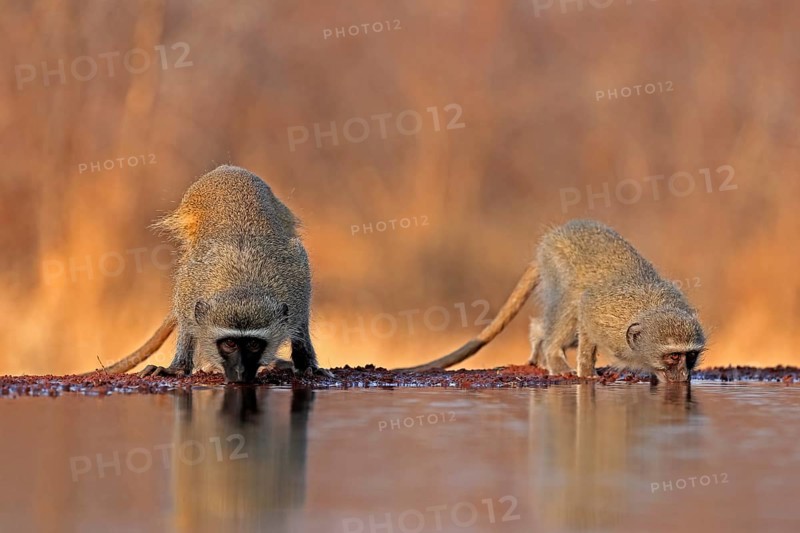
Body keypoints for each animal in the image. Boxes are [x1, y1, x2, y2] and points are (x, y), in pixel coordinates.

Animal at [94, 165, 331, 383]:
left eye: (254, 344)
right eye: (229, 343)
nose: (240, 372)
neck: (242, 282)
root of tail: (228, 168)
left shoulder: (298, 283)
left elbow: (300, 324)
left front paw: (306, 363)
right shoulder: (190, 287)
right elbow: (188, 323)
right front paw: (178, 368)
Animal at [397, 219, 705, 383]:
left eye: (690, 356)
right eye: (673, 356)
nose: (683, 377)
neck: (649, 308)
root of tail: (551, 239)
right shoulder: (602, 315)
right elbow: (584, 310)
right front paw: (586, 373)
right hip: (556, 264)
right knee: (570, 301)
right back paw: (551, 354)